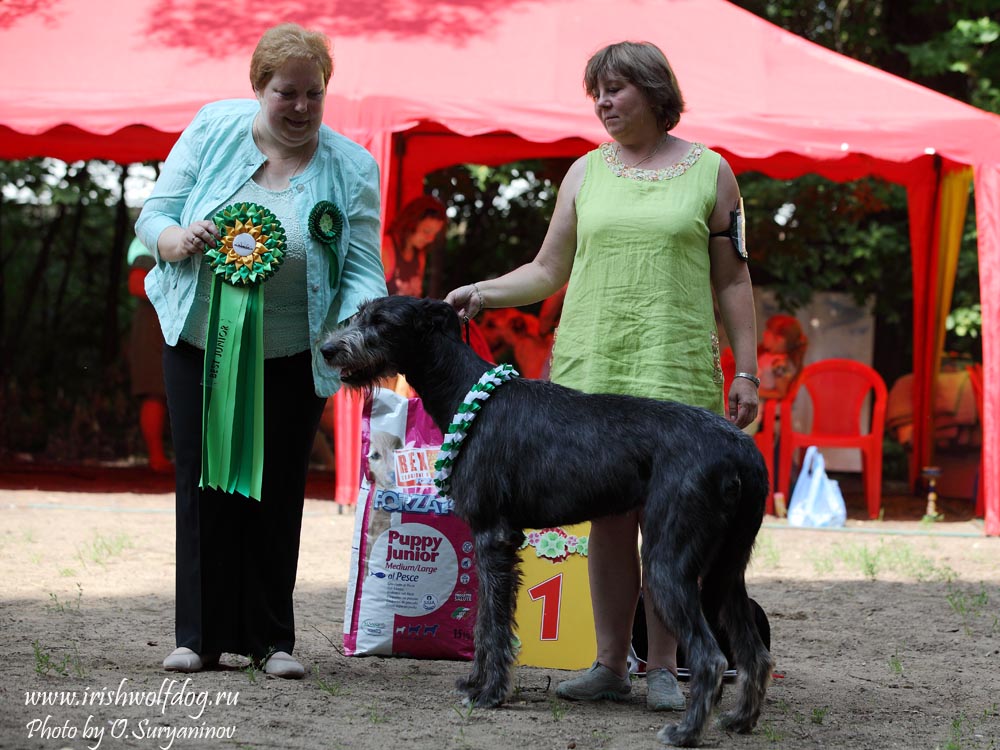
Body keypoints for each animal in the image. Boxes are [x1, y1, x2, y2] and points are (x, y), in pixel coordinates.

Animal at [322, 296, 772, 748]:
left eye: (382, 321)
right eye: (360, 313)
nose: (327, 349)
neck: (468, 392)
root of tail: (742, 448)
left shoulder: (492, 536)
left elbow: (492, 624)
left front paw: (489, 693)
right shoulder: (496, 542)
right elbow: (487, 620)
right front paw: (476, 684)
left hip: (667, 563)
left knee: (711, 657)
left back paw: (686, 731)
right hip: (726, 570)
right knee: (756, 652)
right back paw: (741, 719)